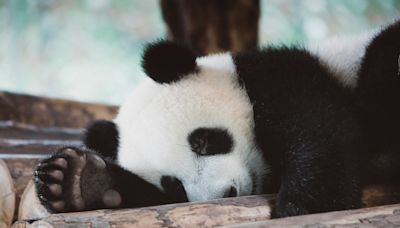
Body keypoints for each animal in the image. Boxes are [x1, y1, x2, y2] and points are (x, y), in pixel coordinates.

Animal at [34, 19, 400, 217]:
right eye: (172, 183)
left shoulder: (284, 77)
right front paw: (79, 180)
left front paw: (304, 204)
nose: (225, 194)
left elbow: (319, 132)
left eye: (204, 140)